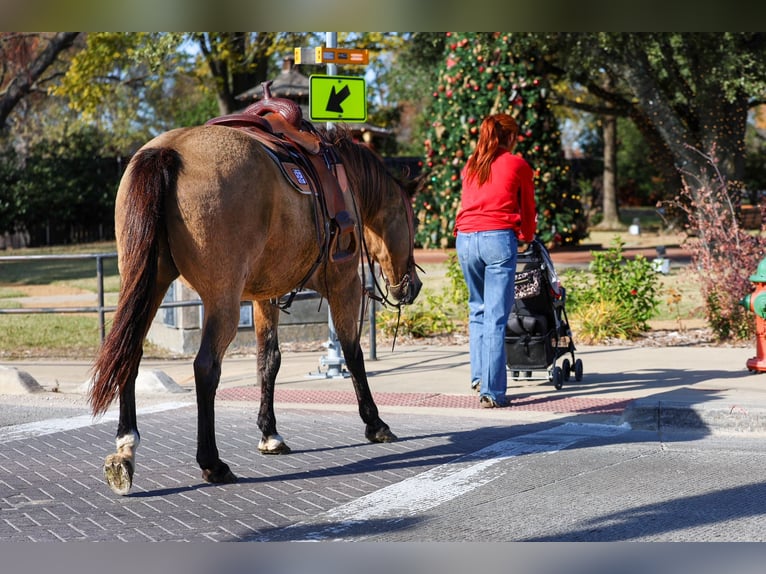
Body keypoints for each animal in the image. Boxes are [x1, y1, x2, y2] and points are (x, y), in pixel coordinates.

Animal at [88, 123, 422, 495]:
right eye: (411, 220)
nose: (413, 285)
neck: (345, 179)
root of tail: (168, 150)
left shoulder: (266, 295)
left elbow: (268, 361)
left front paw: (269, 433)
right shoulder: (345, 283)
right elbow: (353, 354)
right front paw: (375, 423)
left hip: (149, 282)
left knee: (128, 355)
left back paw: (125, 449)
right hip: (222, 299)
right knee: (205, 367)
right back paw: (211, 462)